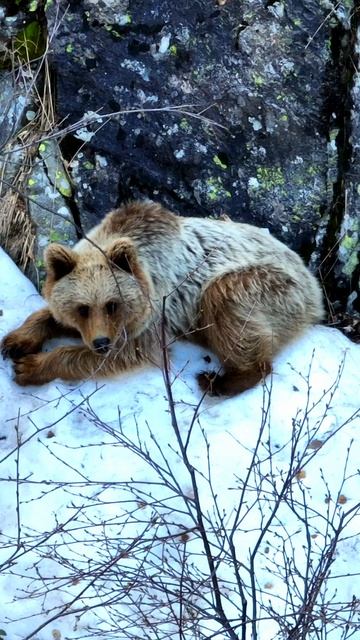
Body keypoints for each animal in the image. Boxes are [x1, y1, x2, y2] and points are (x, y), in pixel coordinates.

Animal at [0, 200, 324, 392]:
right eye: (82, 308)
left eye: (112, 304)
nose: (101, 343)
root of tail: (313, 285)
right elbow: (50, 315)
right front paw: (16, 341)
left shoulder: (154, 312)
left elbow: (132, 351)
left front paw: (30, 366)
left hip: (267, 284)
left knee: (226, 300)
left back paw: (217, 380)